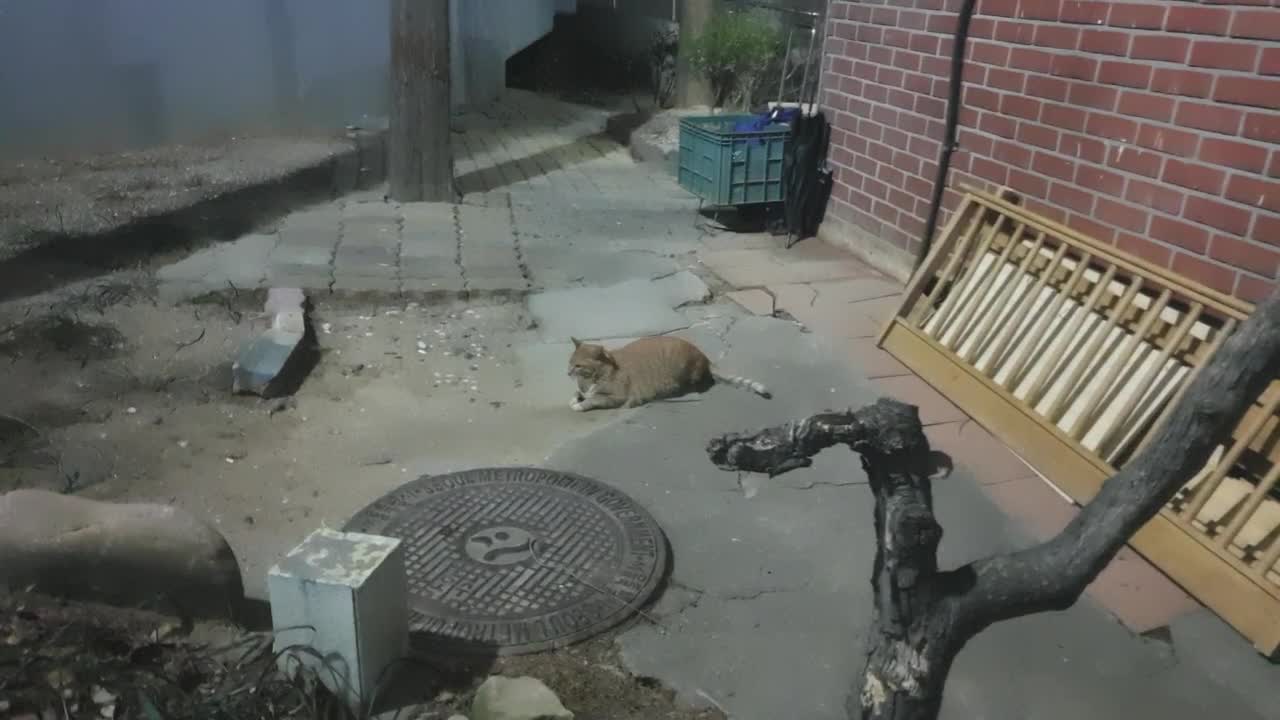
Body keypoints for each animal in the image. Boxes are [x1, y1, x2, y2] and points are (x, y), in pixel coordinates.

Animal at [568, 333, 768, 409]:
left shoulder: (616, 397)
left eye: (578, 365)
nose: (567, 372)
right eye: (569, 362)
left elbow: (594, 399)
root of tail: (703, 356)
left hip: (684, 374)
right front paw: (576, 397)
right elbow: (579, 393)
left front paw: (580, 404)